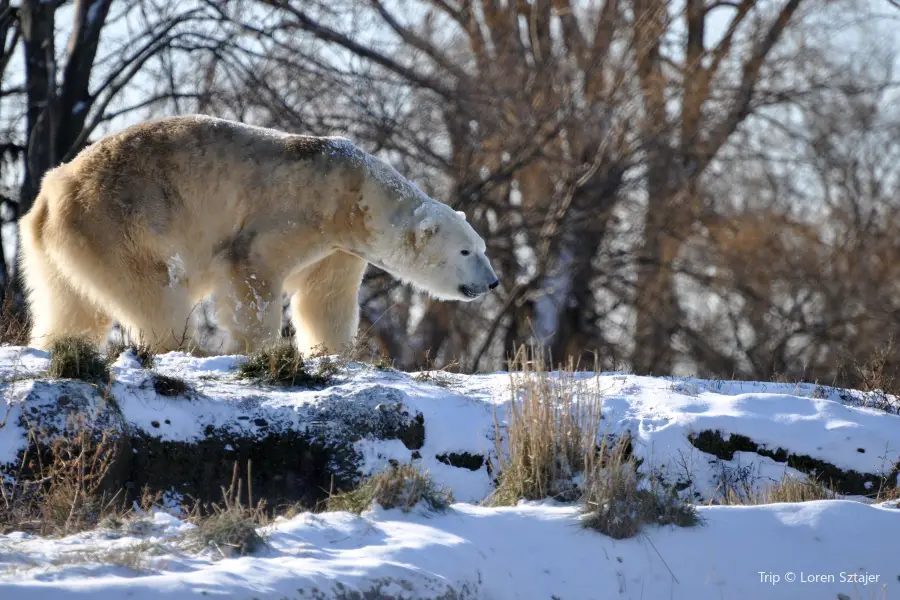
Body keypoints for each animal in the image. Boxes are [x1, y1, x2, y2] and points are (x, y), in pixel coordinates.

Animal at [19, 115, 500, 354]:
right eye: (465, 251)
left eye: (481, 247)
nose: (493, 282)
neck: (356, 194)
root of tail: (52, 192)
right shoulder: (300, 211)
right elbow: (253, 269)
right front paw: (256, 347)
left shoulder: (338, 246)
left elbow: (325, 298)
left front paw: (332, 351)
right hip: (121, 221)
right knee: (155, 289)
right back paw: (184, 347)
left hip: (65, 245)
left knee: (71, 304)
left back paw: (58, 343)